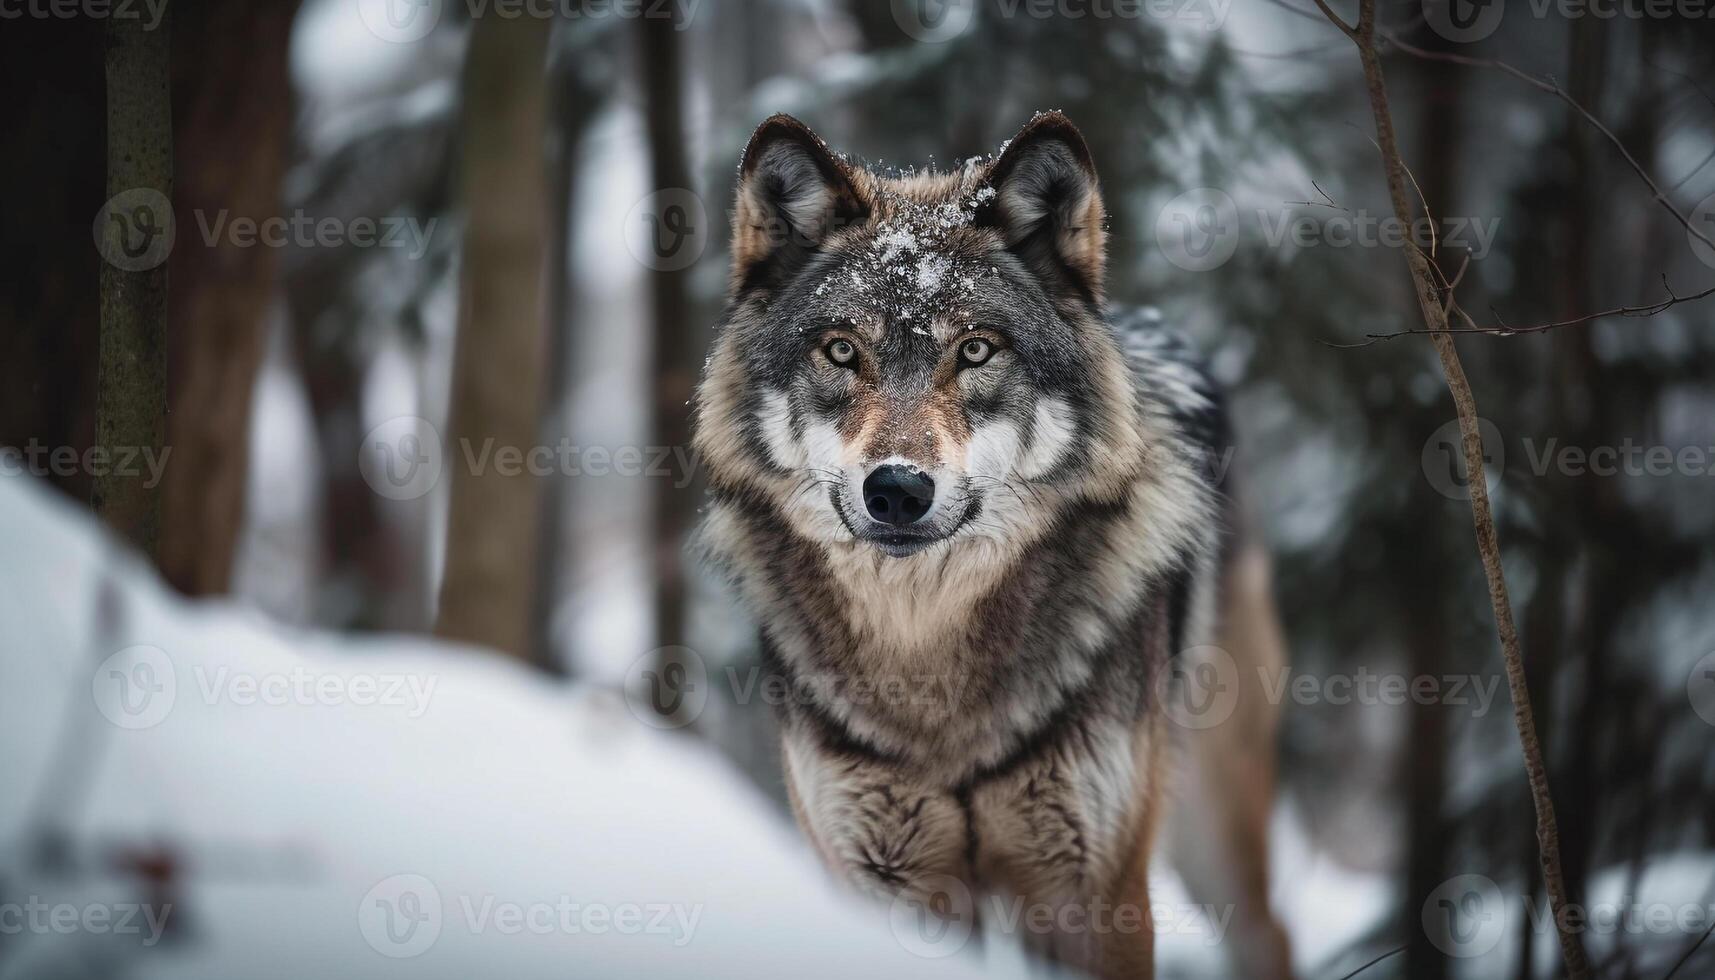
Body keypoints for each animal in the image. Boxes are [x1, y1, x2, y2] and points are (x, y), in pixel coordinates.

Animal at [689, 111, 1289, 974]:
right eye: (841, 350)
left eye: (975, 349)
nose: (896, 490)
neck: (928, 670)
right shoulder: (886, 885)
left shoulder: (1094, 895)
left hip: (1212, 818)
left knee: (1268, 932)